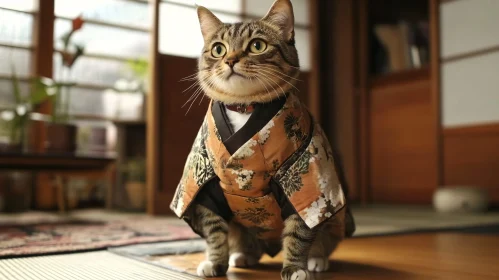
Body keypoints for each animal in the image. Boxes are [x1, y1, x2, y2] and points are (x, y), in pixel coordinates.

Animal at [174, 0, 358, 280]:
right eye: (218, 49)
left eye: (257, 45)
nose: (230, 59)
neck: (244, 108)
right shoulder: (203, 183)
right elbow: (214, 231)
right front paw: (215, 263)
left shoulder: (305, 180)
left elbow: (299, 231)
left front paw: (295, 268)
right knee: (244, 242)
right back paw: (243, 256)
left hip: (333, 216)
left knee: (323, 239)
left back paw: (317, 260)